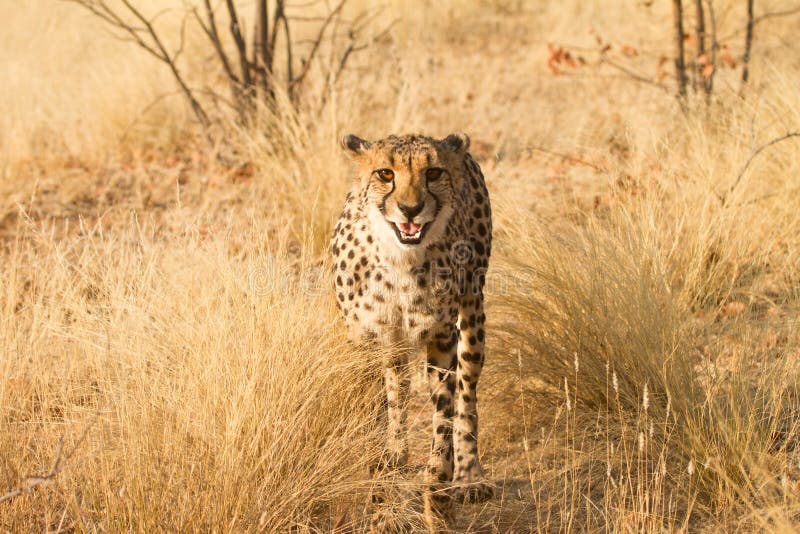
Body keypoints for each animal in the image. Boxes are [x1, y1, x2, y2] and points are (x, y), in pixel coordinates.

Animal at [332, 132, 494, 508]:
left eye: (433, 173)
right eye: (385, 174)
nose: (410, 209)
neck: (399, 260)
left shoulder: (442, 336)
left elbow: (444, 411)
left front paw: (440, 475)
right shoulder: (364, 337)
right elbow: (377, 401)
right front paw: (377, 457)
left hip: (472, 309)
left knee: (467, 392)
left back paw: (469, 475)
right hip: (392, 344)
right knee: (398, 385)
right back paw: (396, 450)